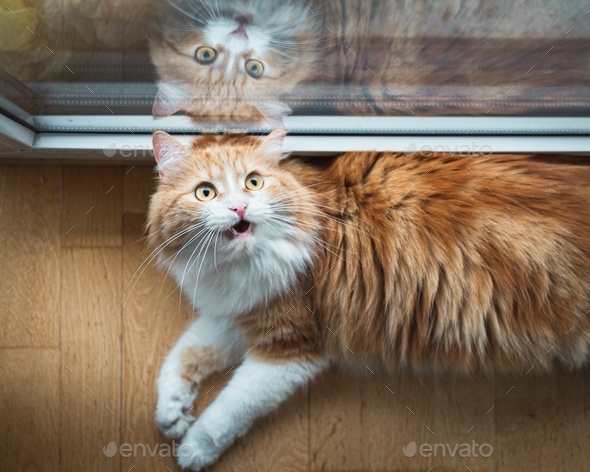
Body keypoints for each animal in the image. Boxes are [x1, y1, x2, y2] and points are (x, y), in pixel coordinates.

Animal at [147, 131, 590, 470]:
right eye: (206, 192)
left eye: (253, 182)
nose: (239, 207)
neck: (233, 268)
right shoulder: (233, 315)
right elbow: (182, 356)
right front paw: (172, 411)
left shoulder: (290, 343)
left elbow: (231, 406)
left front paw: (194, 447)